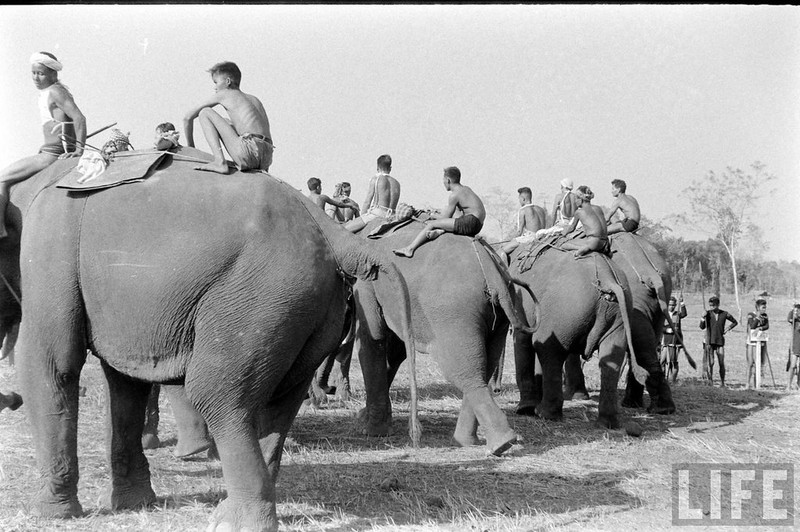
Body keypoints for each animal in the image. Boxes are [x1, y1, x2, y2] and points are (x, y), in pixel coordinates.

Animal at [9, 154, 416, 532]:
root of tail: (335, 233)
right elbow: (126, 384)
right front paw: (135, 504)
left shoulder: (48, 246)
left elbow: (51, 364)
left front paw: (49, 514)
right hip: (308, 310)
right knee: (280, 400)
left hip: (259, 297)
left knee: (215, 393)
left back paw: (234, 521)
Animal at [340, 217, 536, 458]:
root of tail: (494, 273)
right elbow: (395, 351)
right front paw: (363, 418)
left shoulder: (368, 282)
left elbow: (372, 340)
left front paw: (371, 431)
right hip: (497, 316)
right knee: (483, 365)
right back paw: (469, 442)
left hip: (453, 314)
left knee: (463, 370)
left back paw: (501, 443)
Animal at [506, 237, 644, 428]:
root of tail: (608, 279)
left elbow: (523, 339)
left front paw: (524, 410)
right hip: (618, 315)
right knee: (611, 360)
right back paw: (607, 423)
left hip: (564, 309)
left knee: (549, 351)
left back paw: (545, 414)